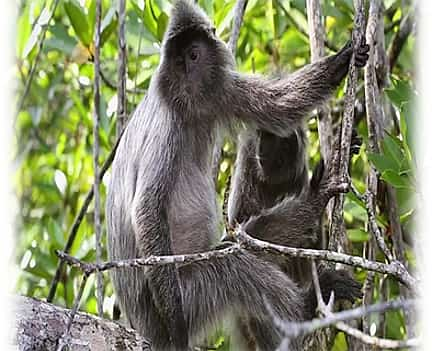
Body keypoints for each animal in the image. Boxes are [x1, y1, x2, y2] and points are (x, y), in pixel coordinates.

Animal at [106, 1, 370, 350]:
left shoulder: (218, 89)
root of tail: (142, 326)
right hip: (193, 293)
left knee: (243, 242)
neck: (186, 107)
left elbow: (279, 106)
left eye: (193, 55)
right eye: (179, 61)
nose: (187, 74)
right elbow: (146, 209)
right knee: (235, 268)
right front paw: (177, 326)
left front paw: (344, 58)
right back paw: (306, 305)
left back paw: (316, 198)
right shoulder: (167, 125)